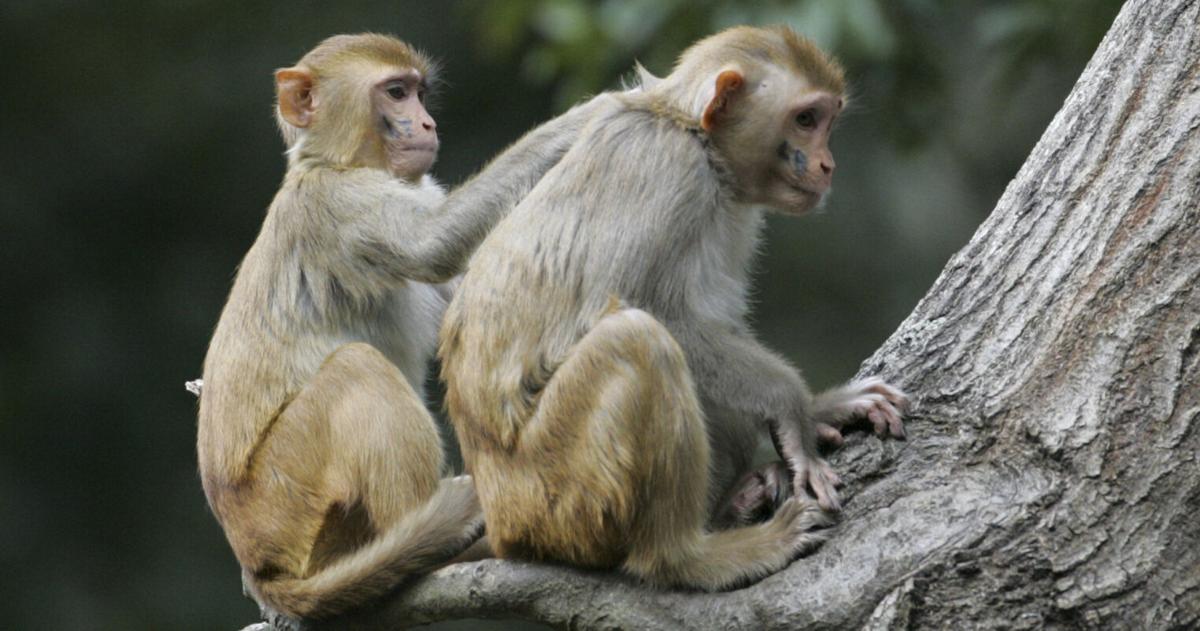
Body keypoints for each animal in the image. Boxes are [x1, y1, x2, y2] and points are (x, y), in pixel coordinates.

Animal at [196, 33, 609, 619]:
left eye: (419, 92)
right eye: (395, 93)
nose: (428, 124)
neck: (335, 163)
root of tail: (259, 566)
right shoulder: (338, 208)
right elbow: (433, 245)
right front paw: (596, 111)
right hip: (289, 502)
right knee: (356, 368)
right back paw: (426, 540)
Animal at [439, 25, 907, 591]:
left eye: (827, 119)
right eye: (805, 119)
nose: (826, 164)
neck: (693, 135)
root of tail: (504, 521)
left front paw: (822, 407)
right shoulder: (670, 170)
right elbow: (634, 303)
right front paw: (793, 405)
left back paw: (734, 503)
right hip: (558, 492)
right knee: (637, 340)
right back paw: (689, 557)